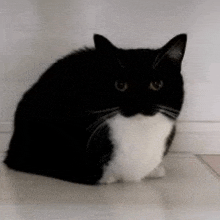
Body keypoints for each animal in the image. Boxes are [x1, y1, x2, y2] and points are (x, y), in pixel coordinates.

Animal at [4, 33, 187, 185]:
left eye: (156, 84)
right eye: (120, 85)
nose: (138, 102)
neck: (139, 130)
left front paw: (155, 170)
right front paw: (106, 177)